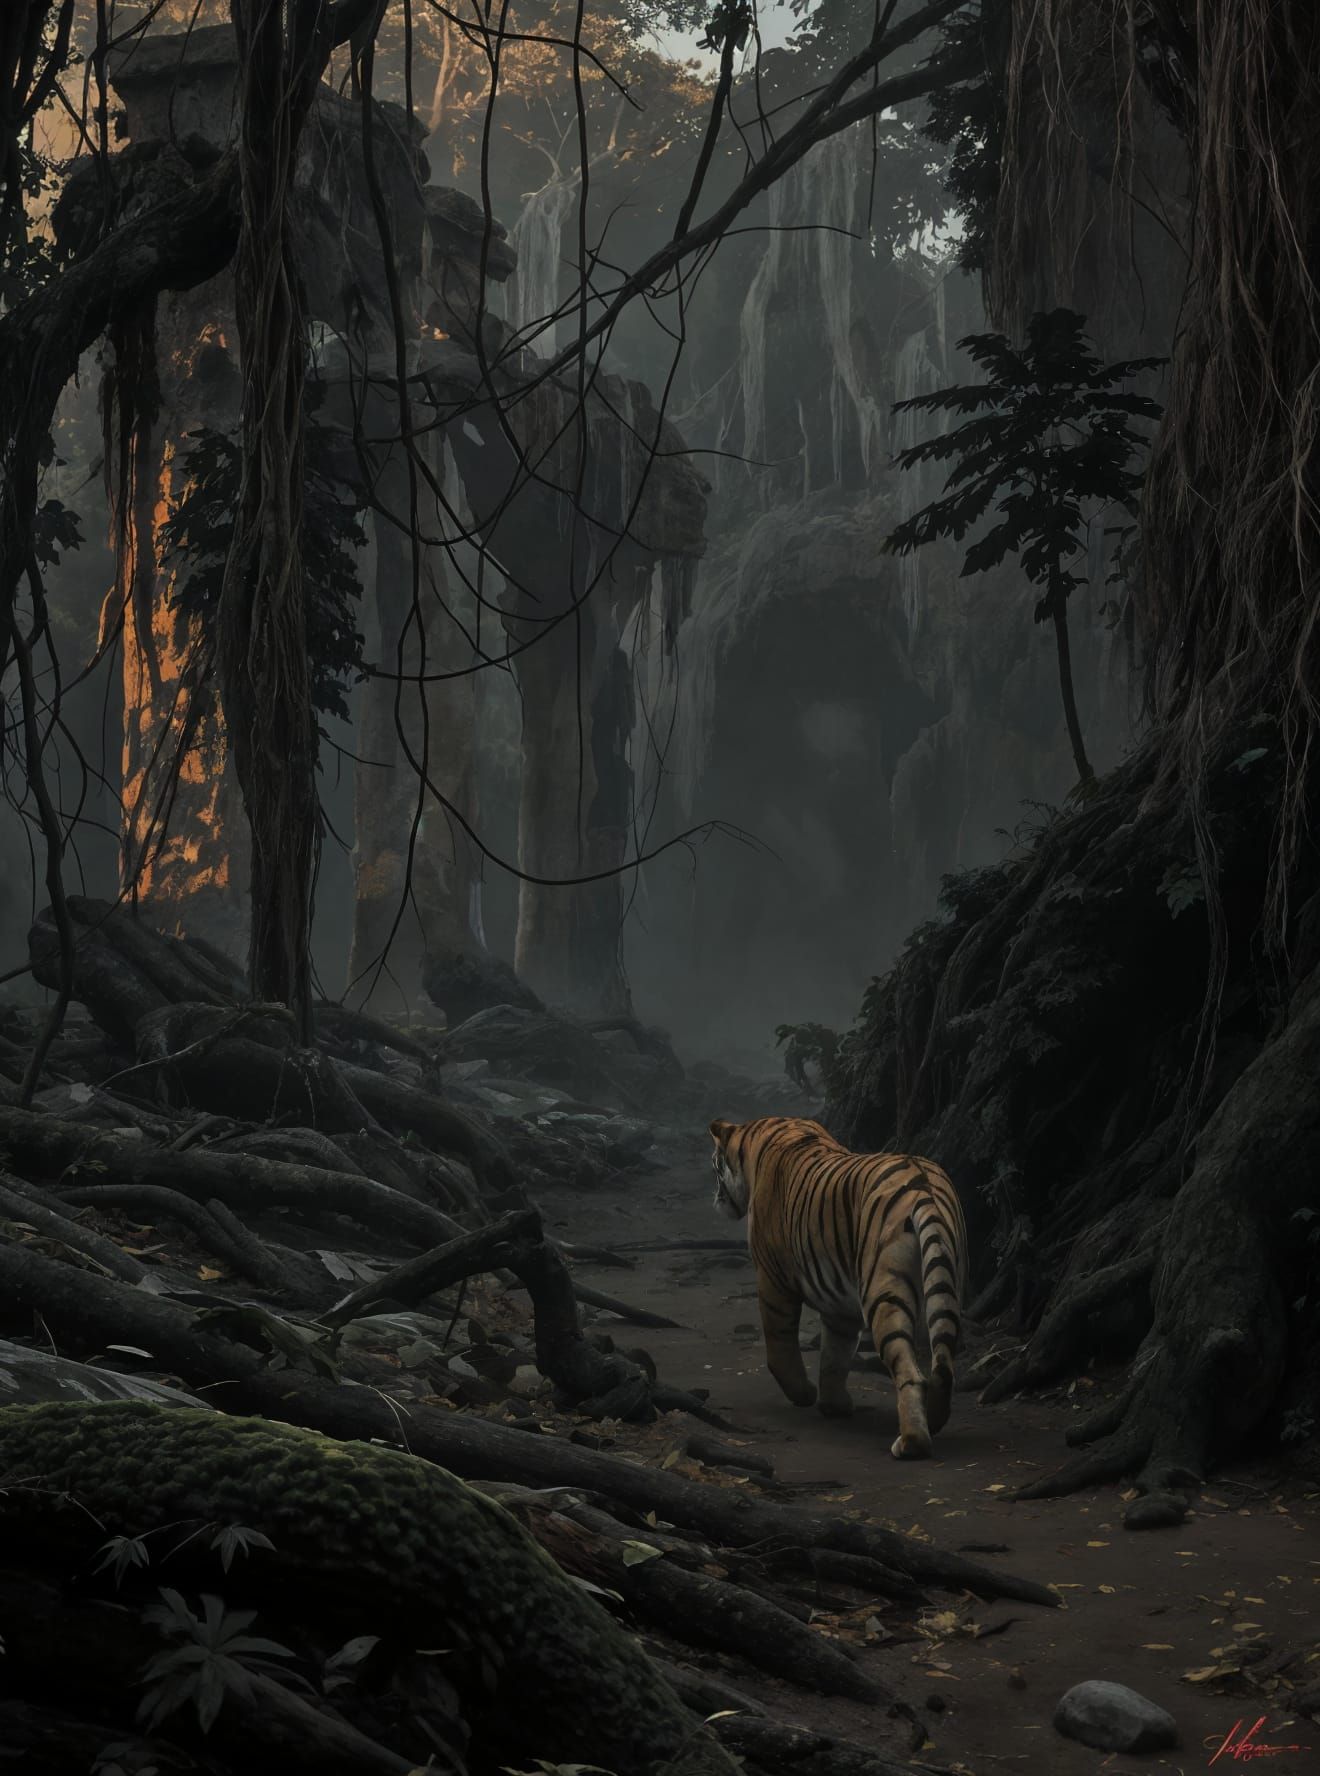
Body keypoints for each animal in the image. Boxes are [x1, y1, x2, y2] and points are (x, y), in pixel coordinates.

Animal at [709, 1115, 966, 1459]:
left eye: (715, 1166)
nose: (717, 1199)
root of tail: (921, 1184)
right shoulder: (841, 1308)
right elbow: (835, 1354)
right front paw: (834, 1405)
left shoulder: (772, 1278)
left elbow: (780, 1345)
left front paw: (804, 1393)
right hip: (946, 1282)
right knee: (943, 1363)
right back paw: (935, 1420)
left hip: (883, 1291)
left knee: (910, 1371)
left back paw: (912, 1442)